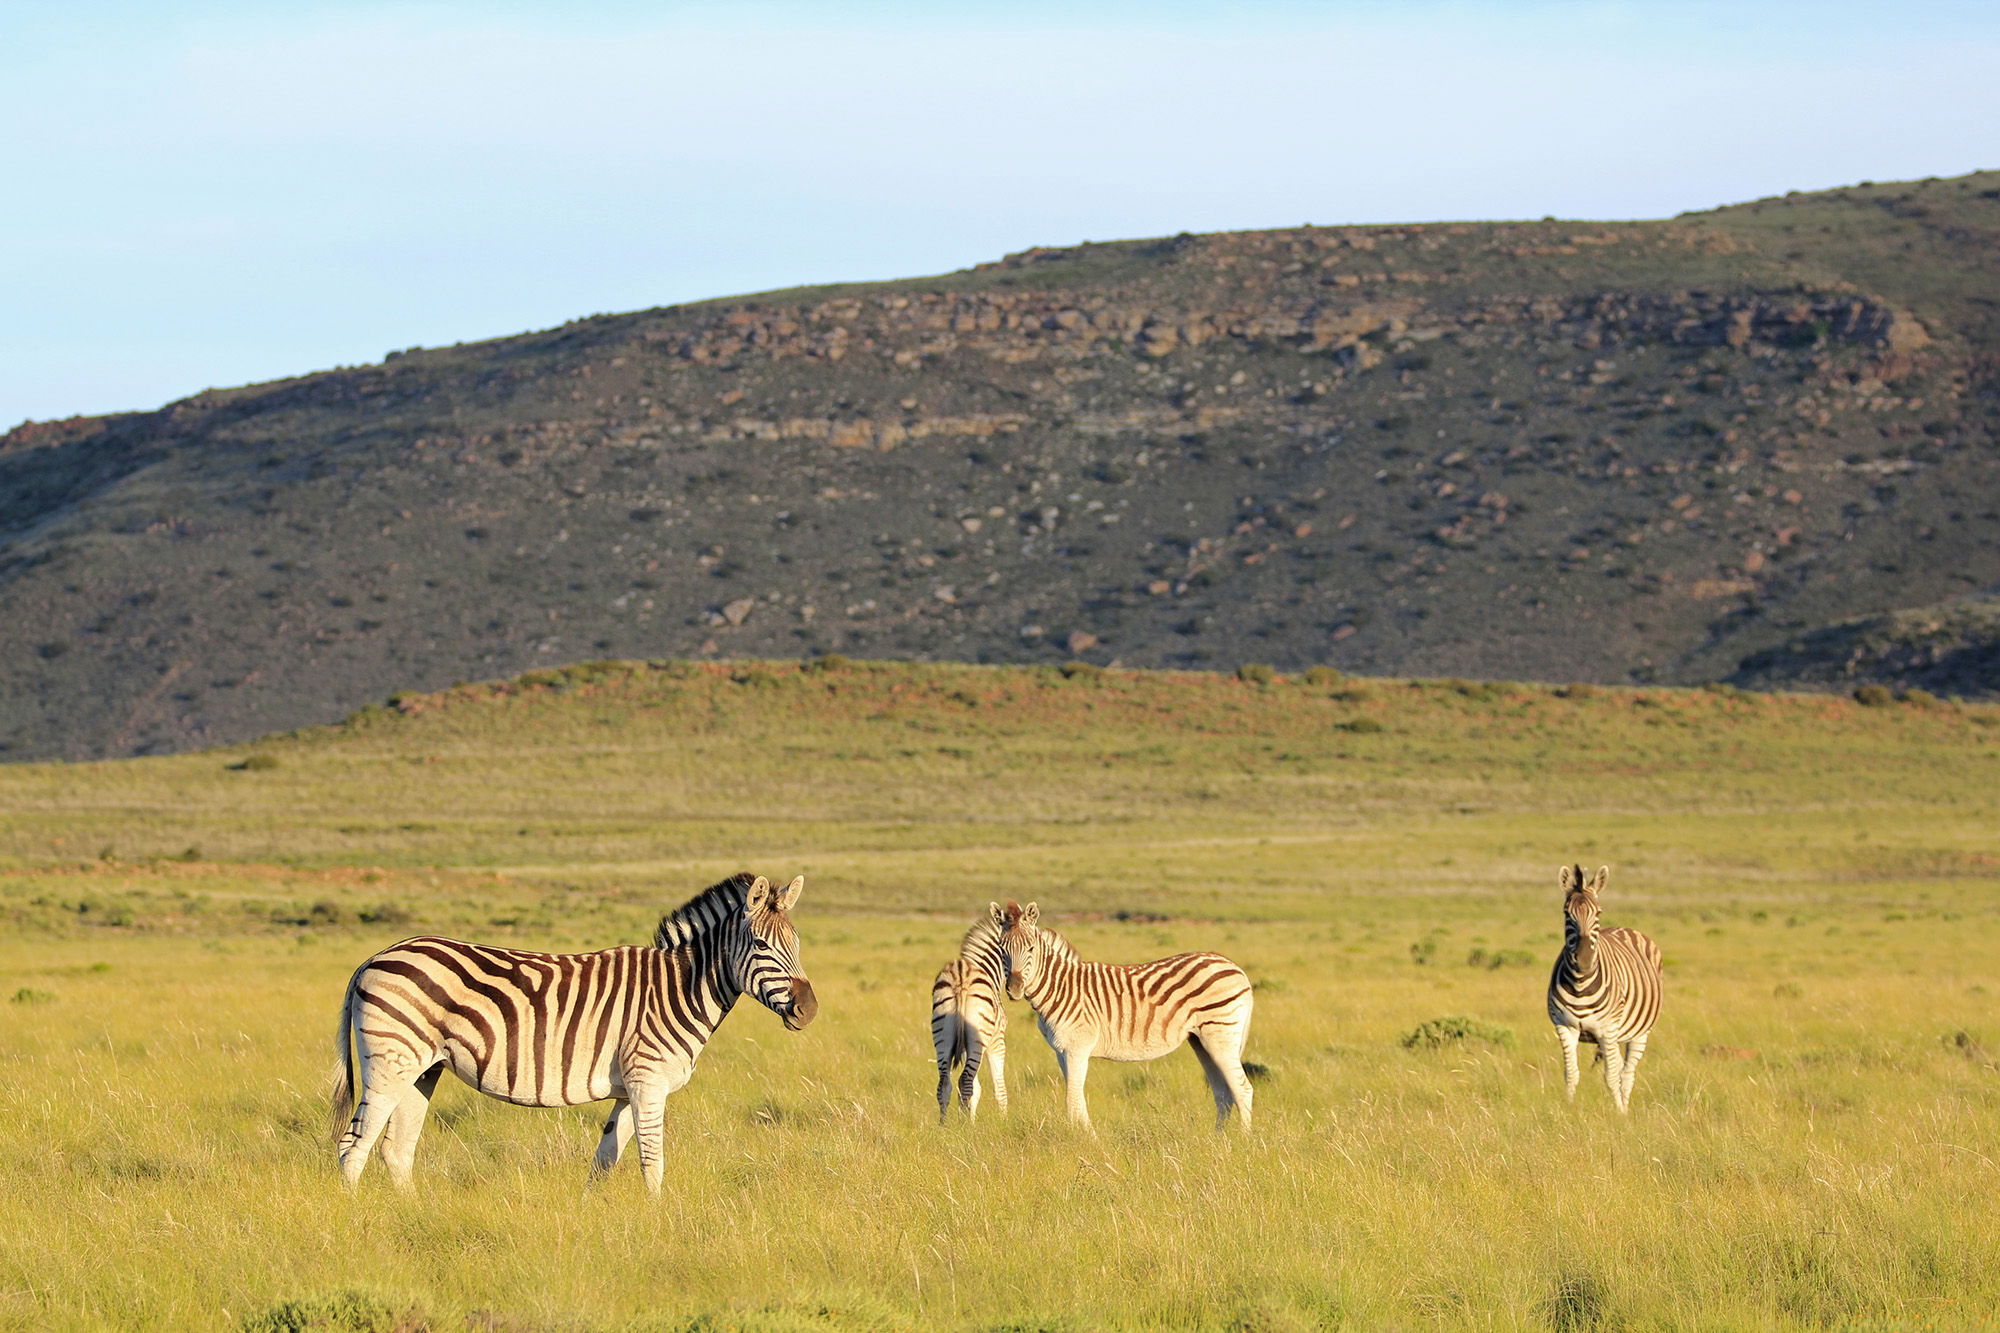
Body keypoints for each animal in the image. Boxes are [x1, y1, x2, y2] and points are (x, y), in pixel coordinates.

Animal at [332, 871, 817, 1193]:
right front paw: (661, 1225)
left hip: (422, 1069)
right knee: (353, 1145)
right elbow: (652, 1162)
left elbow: (604, 1163)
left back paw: (414, 1217)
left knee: (396, 1149)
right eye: (761, 945)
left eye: (797, 945)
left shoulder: (629, 1088)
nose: (809, 1009)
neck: (678, 988)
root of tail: (374, 957)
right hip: (391, 1061)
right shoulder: (648, 1081)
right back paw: (361, 1223)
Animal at [930, 916, 1010, 1121]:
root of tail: (961, 976)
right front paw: (1003, 1121)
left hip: (942, 1034)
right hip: (978, 1038)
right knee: (965, 1080)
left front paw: (968, 1118)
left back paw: (944, 1125)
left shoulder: (965, 1044)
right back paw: (965, 1127)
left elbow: (976, 1088)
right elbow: (999, 1087)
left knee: (945, 1083)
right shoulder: (997, 1041)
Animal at [992, 900, 1255, 1131]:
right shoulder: (1061, 1050)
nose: (1014, 989)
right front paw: (1083, 1136)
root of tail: (1235, 967)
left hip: (1220, 1034)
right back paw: (1218, 1140)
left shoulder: (1077, 1047)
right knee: (1223, 1092)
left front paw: (1085, 1140)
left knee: (1242, 1089)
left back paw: (1241, 1141)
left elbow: (1072, 1100)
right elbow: (1076, 1098)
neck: (1060, 987)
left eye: (1031, 948)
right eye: (1002, 949)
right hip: (1201, 1040)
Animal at [1547, 864, 1663, 1112]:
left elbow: (1611, 1077)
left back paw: (1625, 1110)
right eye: (1566, 913)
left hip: (1639, 1033)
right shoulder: (1565, 1027)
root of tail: (1623, 928)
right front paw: (1568, 1110)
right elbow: (1571, 1074)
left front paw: (1618, 1114)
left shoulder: (1607, 1029)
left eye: (1598, 913)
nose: (1584, 961)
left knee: (1627, 1074)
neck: (1581, 985)